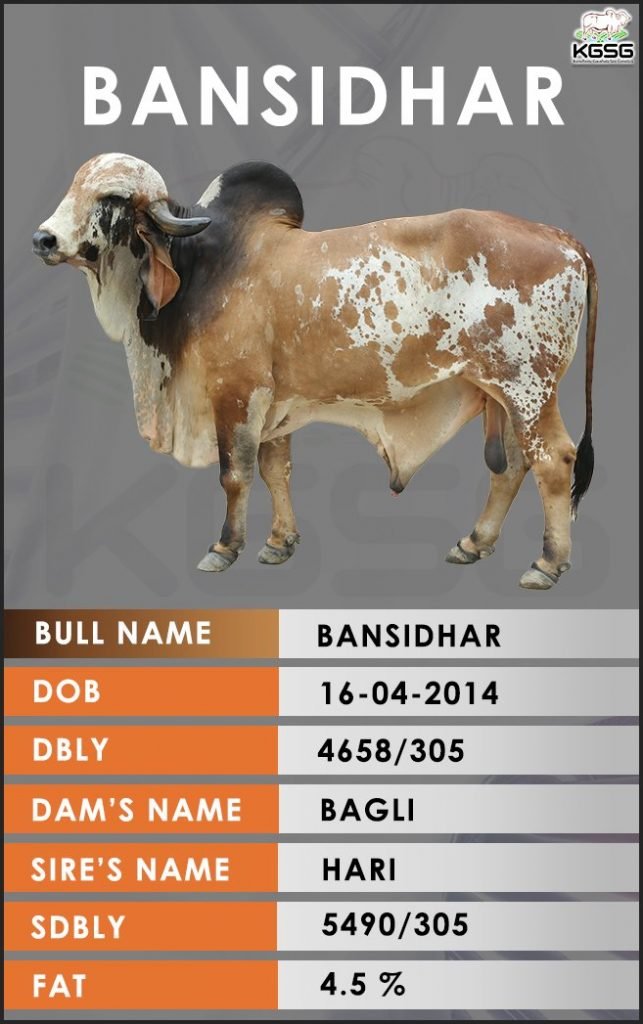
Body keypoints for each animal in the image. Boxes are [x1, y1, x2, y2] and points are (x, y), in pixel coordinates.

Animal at [32, 153, 597, 590]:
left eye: (110, 200)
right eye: (73, 188)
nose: (44, 239)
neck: (202, 268)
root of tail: (564, 236)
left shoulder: (236, 393)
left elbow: (234, 475)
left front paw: (225, 548)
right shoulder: (277, 402)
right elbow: (274, 470)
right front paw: (280, 543)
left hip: (529, 387)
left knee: (554, 462)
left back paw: (547, 564)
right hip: (502, 392)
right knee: (512, 466)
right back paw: (474, 542)